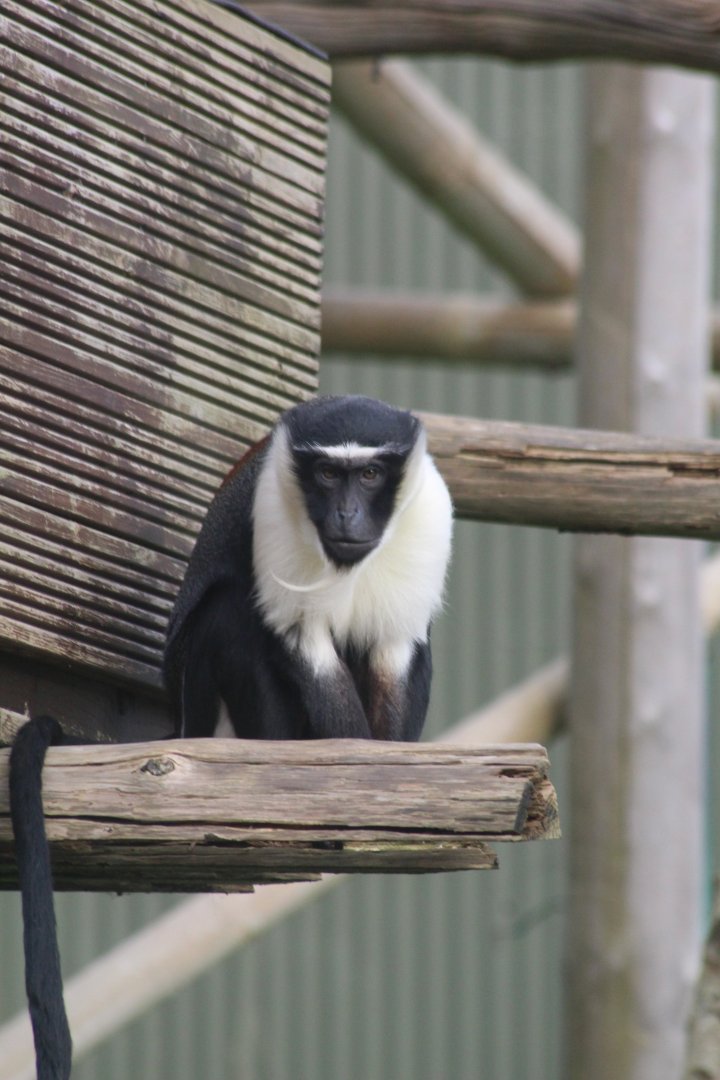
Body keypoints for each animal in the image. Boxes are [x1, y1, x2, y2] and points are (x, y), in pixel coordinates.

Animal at [164, 394, 454, 742]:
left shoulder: (429, 508)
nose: (347, 514)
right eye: (327, 473)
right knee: (228, 608)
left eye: (370, 474)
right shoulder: (273, 503)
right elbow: (305, 641)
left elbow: (396, 645)